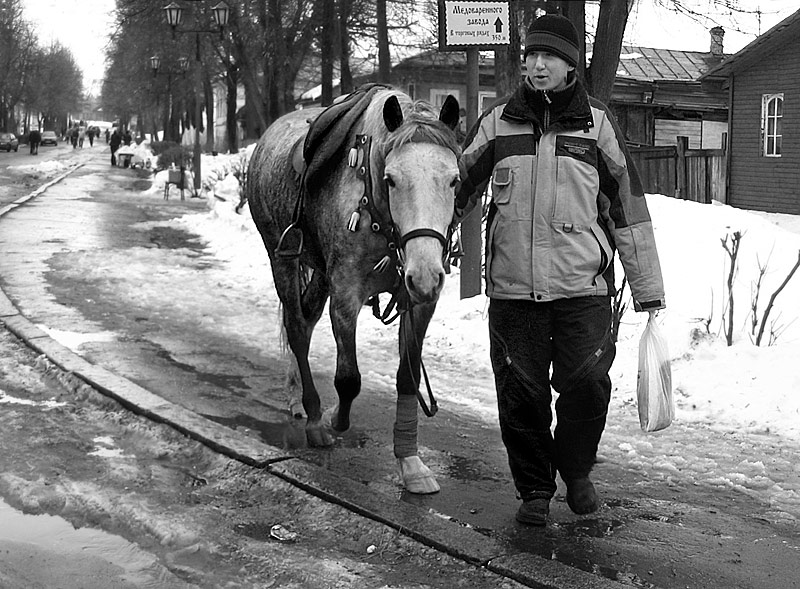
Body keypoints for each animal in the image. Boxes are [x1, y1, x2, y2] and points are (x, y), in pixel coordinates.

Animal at [247, 85, 460, 494]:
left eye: (454, 180)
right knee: (297, 331)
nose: (426, 274)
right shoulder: (345, 294)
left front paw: (410, 463)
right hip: (282, 259)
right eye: (392, 179)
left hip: (319, 274)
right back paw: (313, 417)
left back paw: (296, 398)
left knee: (306, 322)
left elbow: (407, 377)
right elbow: (348, 379)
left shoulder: (419, 302)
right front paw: (332, 420)